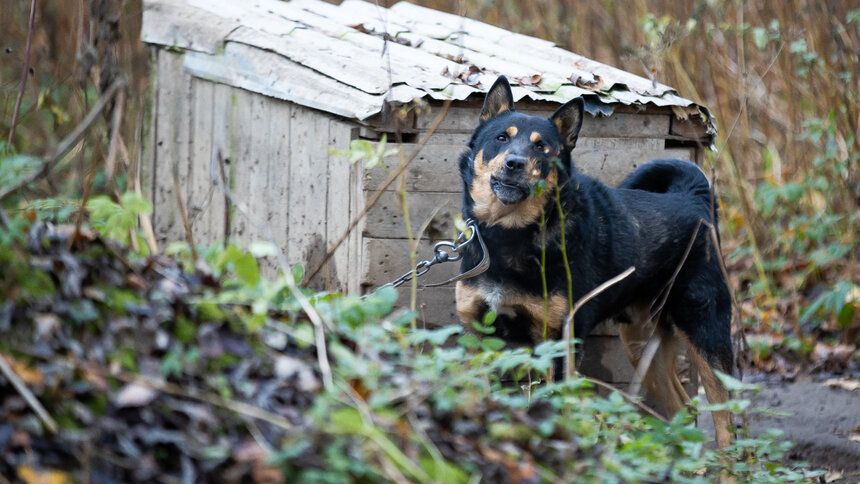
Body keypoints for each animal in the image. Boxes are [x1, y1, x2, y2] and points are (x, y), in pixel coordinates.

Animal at [456, 76, 732, 450]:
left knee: (728, 421)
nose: (514, 163)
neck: (510, 236)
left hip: (707, 334)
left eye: (542, 148)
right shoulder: (476, 336)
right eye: (501, 138)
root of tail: (693, 199)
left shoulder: (559, 342)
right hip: (640, 344)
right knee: (683, 407)